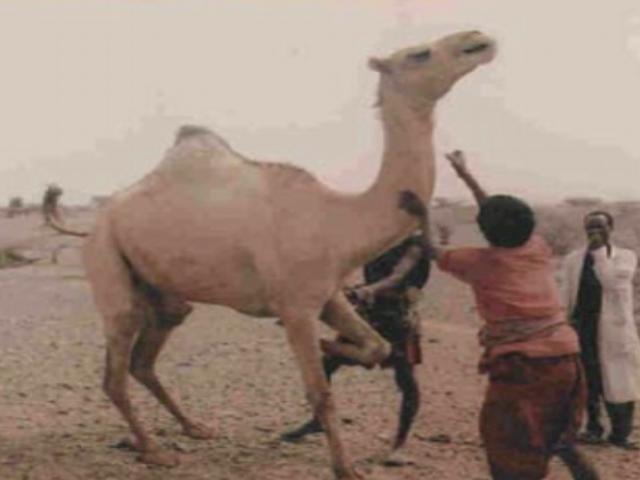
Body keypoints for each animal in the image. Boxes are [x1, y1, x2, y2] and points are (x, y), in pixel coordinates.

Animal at [65, 31, 496, 479]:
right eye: (419, 54)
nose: (477, 40)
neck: (338, 220)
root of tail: (98, 219)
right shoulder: (295, 307)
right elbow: (320, 392)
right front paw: (346, 468)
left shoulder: (327, 295)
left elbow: (377, 346)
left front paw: (336, 348)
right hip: (107, 259)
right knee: (115, 370)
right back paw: (153, 450)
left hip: (163, 292)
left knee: (145, 358)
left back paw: (194, 427)